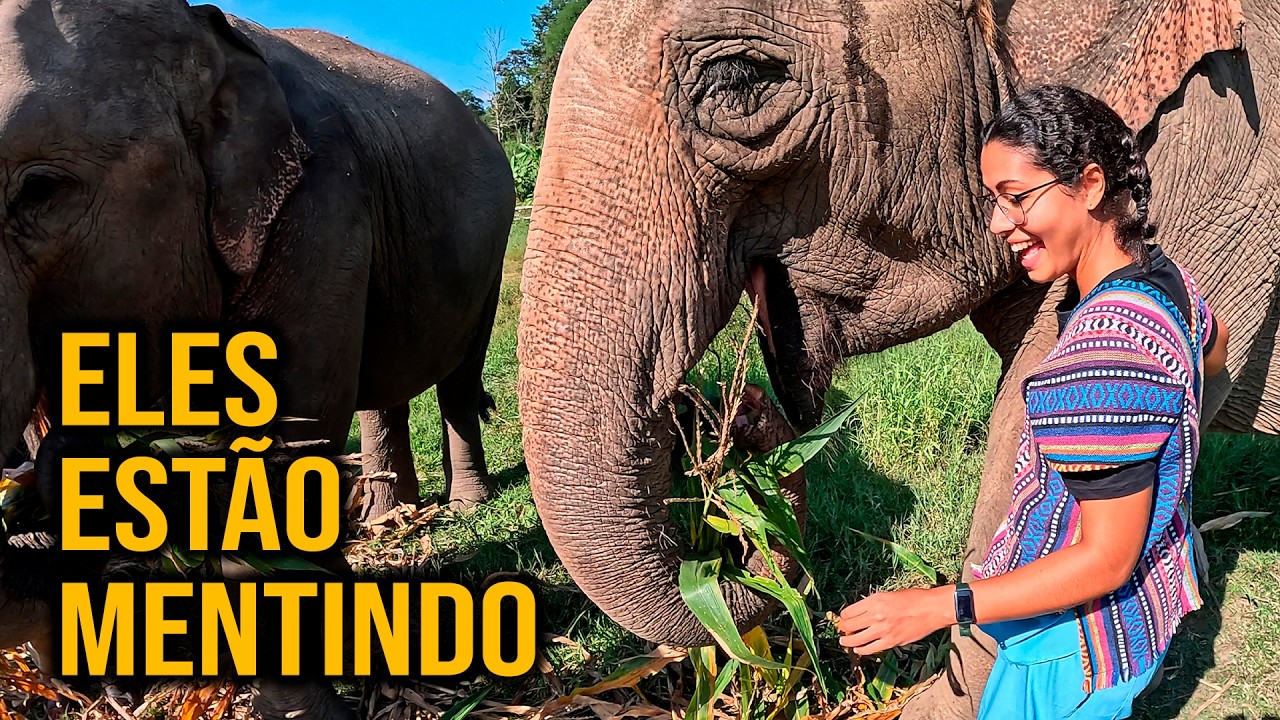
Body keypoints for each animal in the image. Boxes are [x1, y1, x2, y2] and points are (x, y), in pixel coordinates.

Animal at [0, 0, 513, 717]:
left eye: (39, 191)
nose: (109, 689)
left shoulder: (321, 206)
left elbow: (284, 436)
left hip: (493, 249)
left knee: (459, 379)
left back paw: (464, 506)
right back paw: (387, 518)